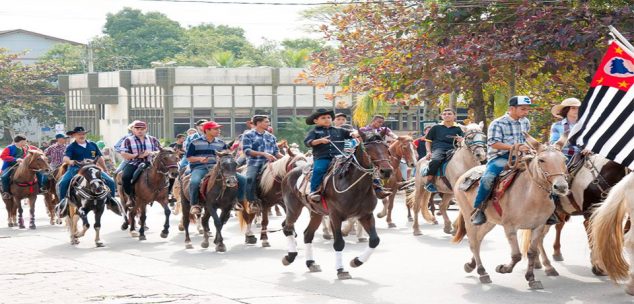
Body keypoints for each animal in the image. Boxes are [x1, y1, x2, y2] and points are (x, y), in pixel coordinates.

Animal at [280, 129, 392, 280]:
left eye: (386, 147)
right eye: (368, 149)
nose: (386, 171)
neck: (354, 185)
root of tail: (290, 173)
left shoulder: (366, 215)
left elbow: (374, 240)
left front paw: (356, 261)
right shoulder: (335, 216)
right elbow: (339, 243)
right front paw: (341, 270)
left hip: (316, 212)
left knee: (307, 234)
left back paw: (311, 263)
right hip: (293, 208)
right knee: (287, 227)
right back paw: (290, 256)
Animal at [450, 135, 568, 290]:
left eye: (564, 159)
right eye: (541, 160)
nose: (561, 186)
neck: (530, 195)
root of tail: (464, 175)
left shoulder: (538, 226)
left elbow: (531, 252)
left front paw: (531, 278)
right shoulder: (510, 227)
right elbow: (517, 255)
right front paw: (502, 268)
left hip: (489, 221)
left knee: (479, 238)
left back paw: (471, 265)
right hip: (468, 216)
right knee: (473, 242)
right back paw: (482, 272)